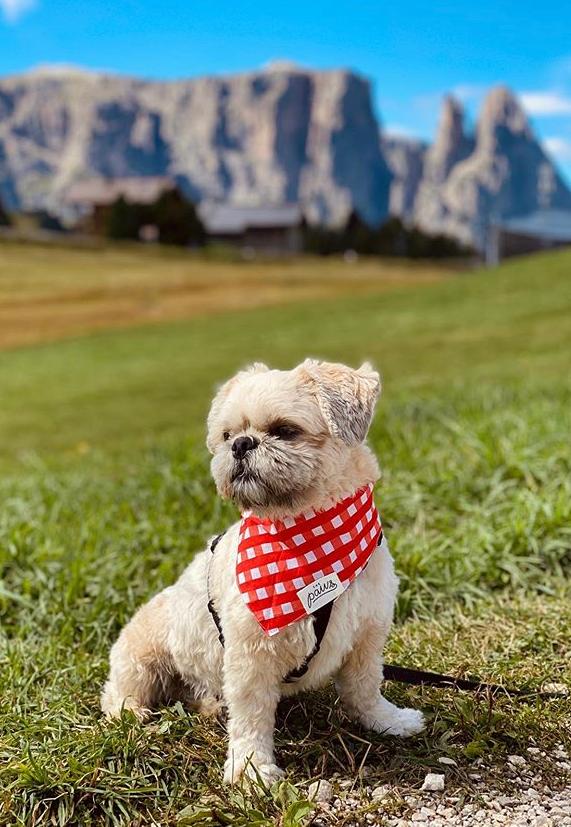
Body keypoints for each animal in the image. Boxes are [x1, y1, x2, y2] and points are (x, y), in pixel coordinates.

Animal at [101, 360, 424, 784]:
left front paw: (387, 721)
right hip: (141, 652)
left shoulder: (366, 636)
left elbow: (365, 688)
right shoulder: (250, 656)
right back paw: (133, 712)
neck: (310, 539)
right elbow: (251, 717)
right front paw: (251, 769)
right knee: (117, 692)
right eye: (227, 435)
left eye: (285, 430)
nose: (241, 444)